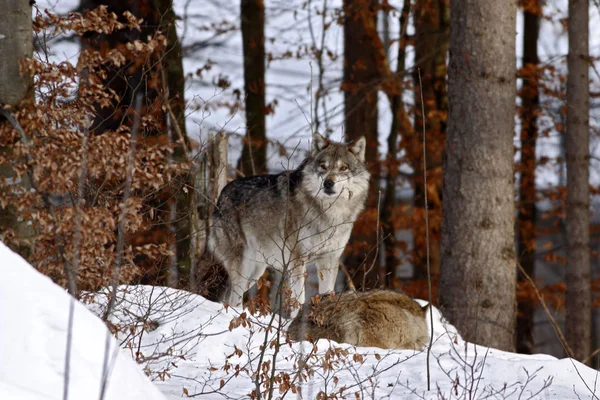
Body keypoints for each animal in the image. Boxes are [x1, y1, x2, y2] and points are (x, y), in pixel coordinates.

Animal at [206, 134, 370, 312]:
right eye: (323, 166)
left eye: (343, 168)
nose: (328, 183)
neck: (329, 212)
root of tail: (220, 198)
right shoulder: (297, 259)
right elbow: (298, 299)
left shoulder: (329, 259)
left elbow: (327, 293)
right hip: (243, 267)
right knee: (234, 300)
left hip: (256, 270)